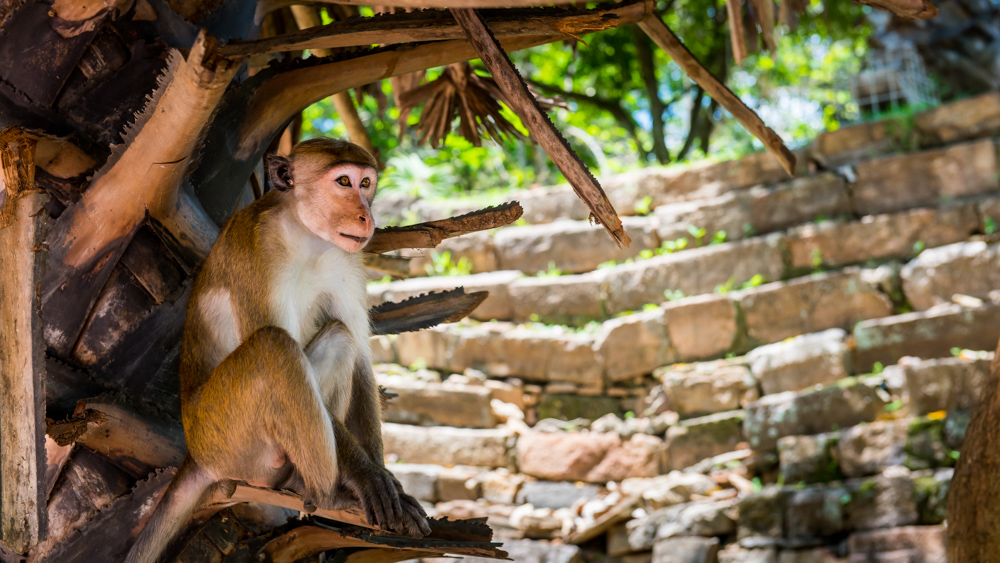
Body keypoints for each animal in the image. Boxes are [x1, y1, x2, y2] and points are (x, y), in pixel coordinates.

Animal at [125, 138, 430, 563]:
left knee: (338, 338)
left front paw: (387, 479)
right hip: (226, 438)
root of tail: (195, 455)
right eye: (343, 182)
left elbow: (362, 361)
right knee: (274, 347)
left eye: (366, 183)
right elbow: (277, 338)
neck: (305, 232)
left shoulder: (348, 259)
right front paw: (367, 476)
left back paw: (309, 487)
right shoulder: (258, 247)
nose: (365, 216)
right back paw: (328, 493)